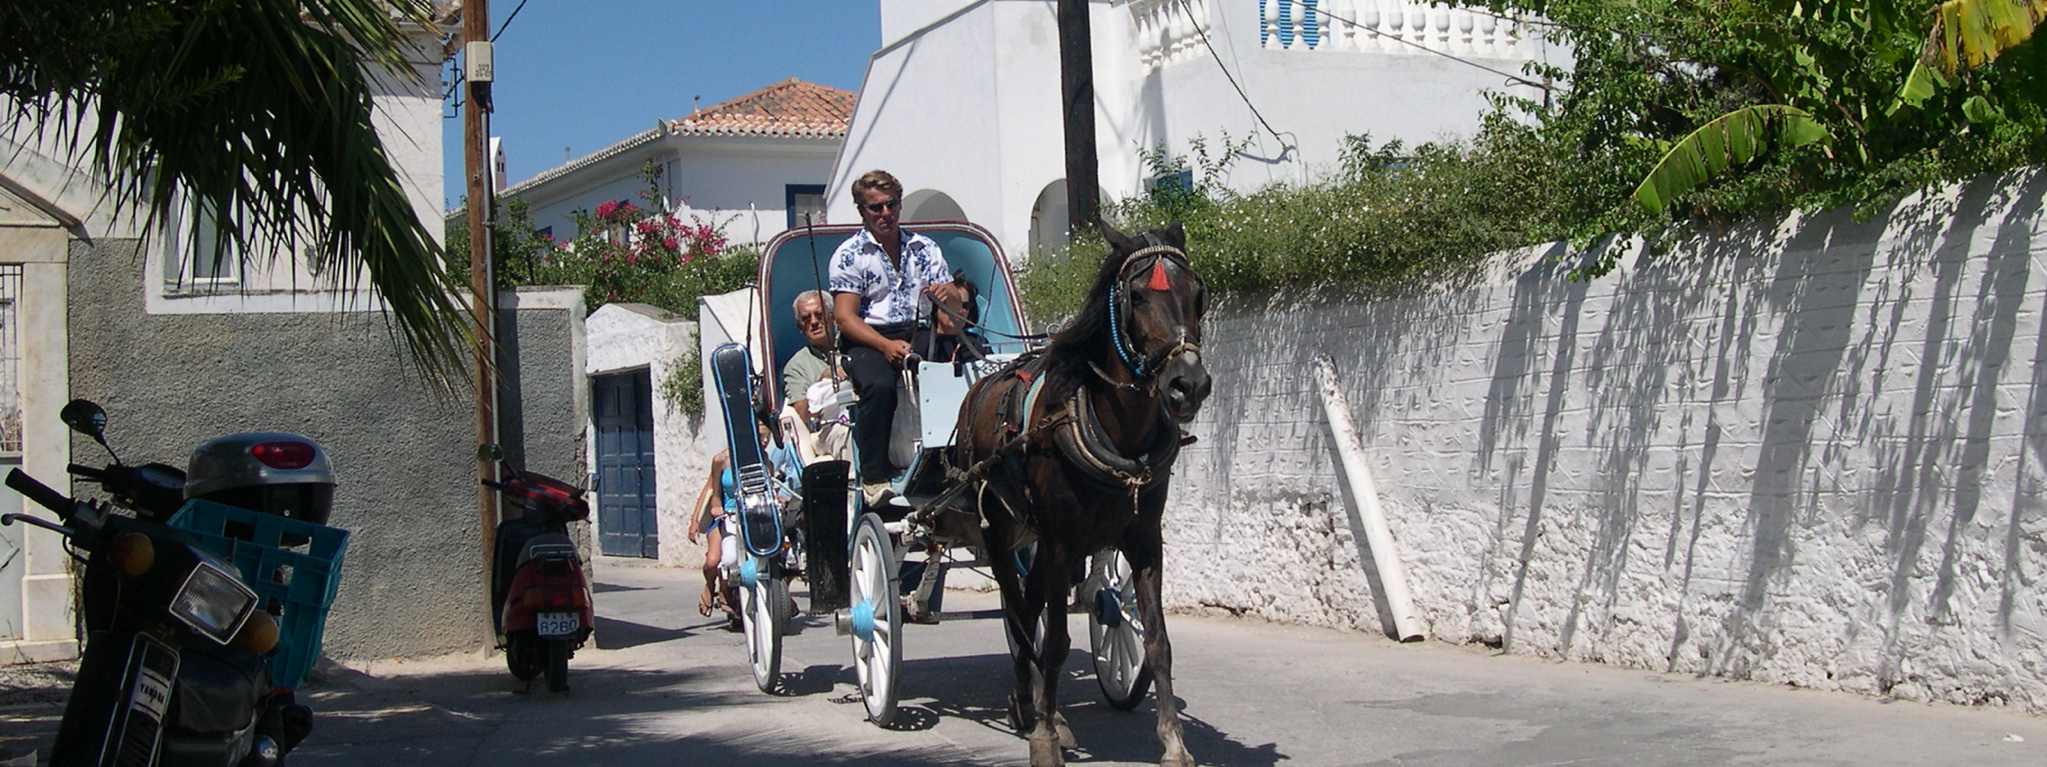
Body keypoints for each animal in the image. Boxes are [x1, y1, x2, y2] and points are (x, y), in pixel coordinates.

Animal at [957, 220, 1211, 767]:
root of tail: (979, 387)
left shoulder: (1144, 540)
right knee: (1017, 610)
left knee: (1027, 607)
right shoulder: (1061, 541)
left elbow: (1157, 642)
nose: (1188, 385)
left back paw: (1030, 701)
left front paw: (1174, 742)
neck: (1119, 432)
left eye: (1197, 293)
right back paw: (1037, 708)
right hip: (1001, 531)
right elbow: (1055, 642)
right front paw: (1046, 738)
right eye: (1136, 295)